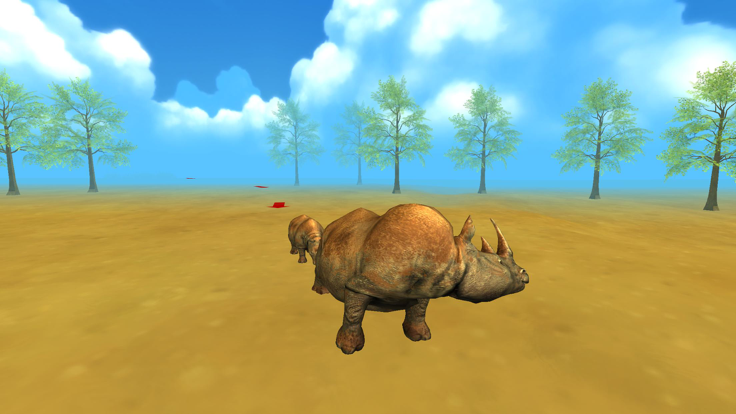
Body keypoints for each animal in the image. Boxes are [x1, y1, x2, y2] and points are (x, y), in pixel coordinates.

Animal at [312, 204, 529, 354]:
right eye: (499, 262)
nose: (525, 275)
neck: (453, 255)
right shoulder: (364, 283)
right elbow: (354, 313)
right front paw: (348, 347)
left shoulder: (427, 285)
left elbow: (418, 310)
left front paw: (420, 336)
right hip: (328, 236)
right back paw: (320, 291)